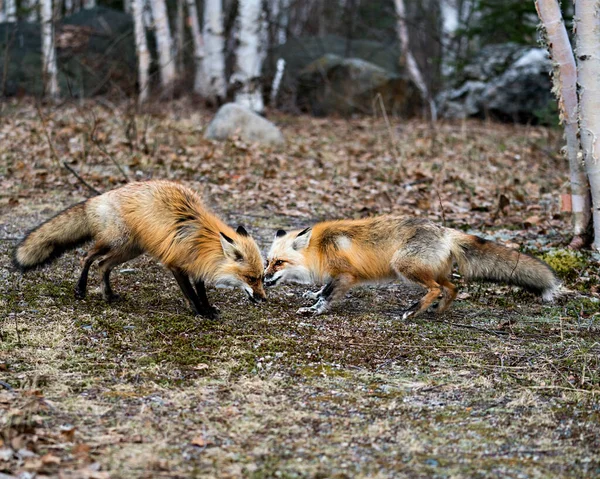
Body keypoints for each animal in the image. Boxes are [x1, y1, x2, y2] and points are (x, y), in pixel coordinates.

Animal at [12, 180, 266, 318]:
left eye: (261, 278)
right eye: (251, 278)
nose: (263, 299)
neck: (201, 239)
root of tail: (99, 197)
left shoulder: (197, 265)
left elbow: (201, 291)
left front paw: (208, 309)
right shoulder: (175, 264)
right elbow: (191, 294)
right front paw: (199, 312)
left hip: (130, 250)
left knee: (103, 265)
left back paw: (108, 295)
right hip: (116, 242)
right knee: (86, 257)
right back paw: (81, 289)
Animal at [264, 218, 560, 318]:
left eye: (279, 262)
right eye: (268, 261)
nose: (263, 279)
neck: (320, 248)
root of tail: (445, 230)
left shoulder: (345, 275)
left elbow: (327, 295)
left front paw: (313, 310)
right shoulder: (337, 276)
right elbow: (323, 288)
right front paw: (312, 296)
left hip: (404, 267)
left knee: (436, 288)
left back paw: (413, 311)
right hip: (432, 270)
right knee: (451, 287)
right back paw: (437, 310)